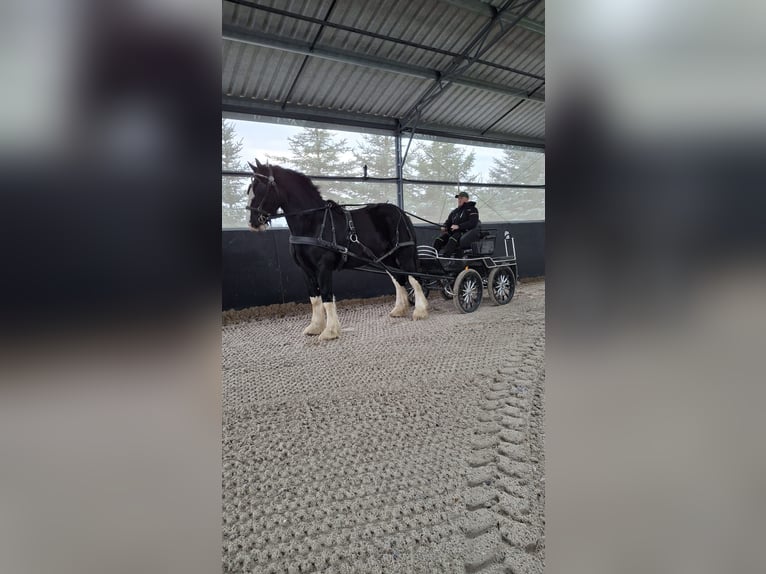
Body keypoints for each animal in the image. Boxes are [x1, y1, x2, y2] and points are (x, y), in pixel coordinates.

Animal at [249, 160, 428, 340]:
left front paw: (330, 331)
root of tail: (400, 212)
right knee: (399, 279)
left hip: (404, 254)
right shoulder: (306, 269)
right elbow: (314, 298)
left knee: (414, 279)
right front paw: (315, 327)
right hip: (387, 257)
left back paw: (420, 311)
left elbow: (327, 295)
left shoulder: (323, 267)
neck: (313, 223)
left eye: (260, 188)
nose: (253, 223)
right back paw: (399, 310)